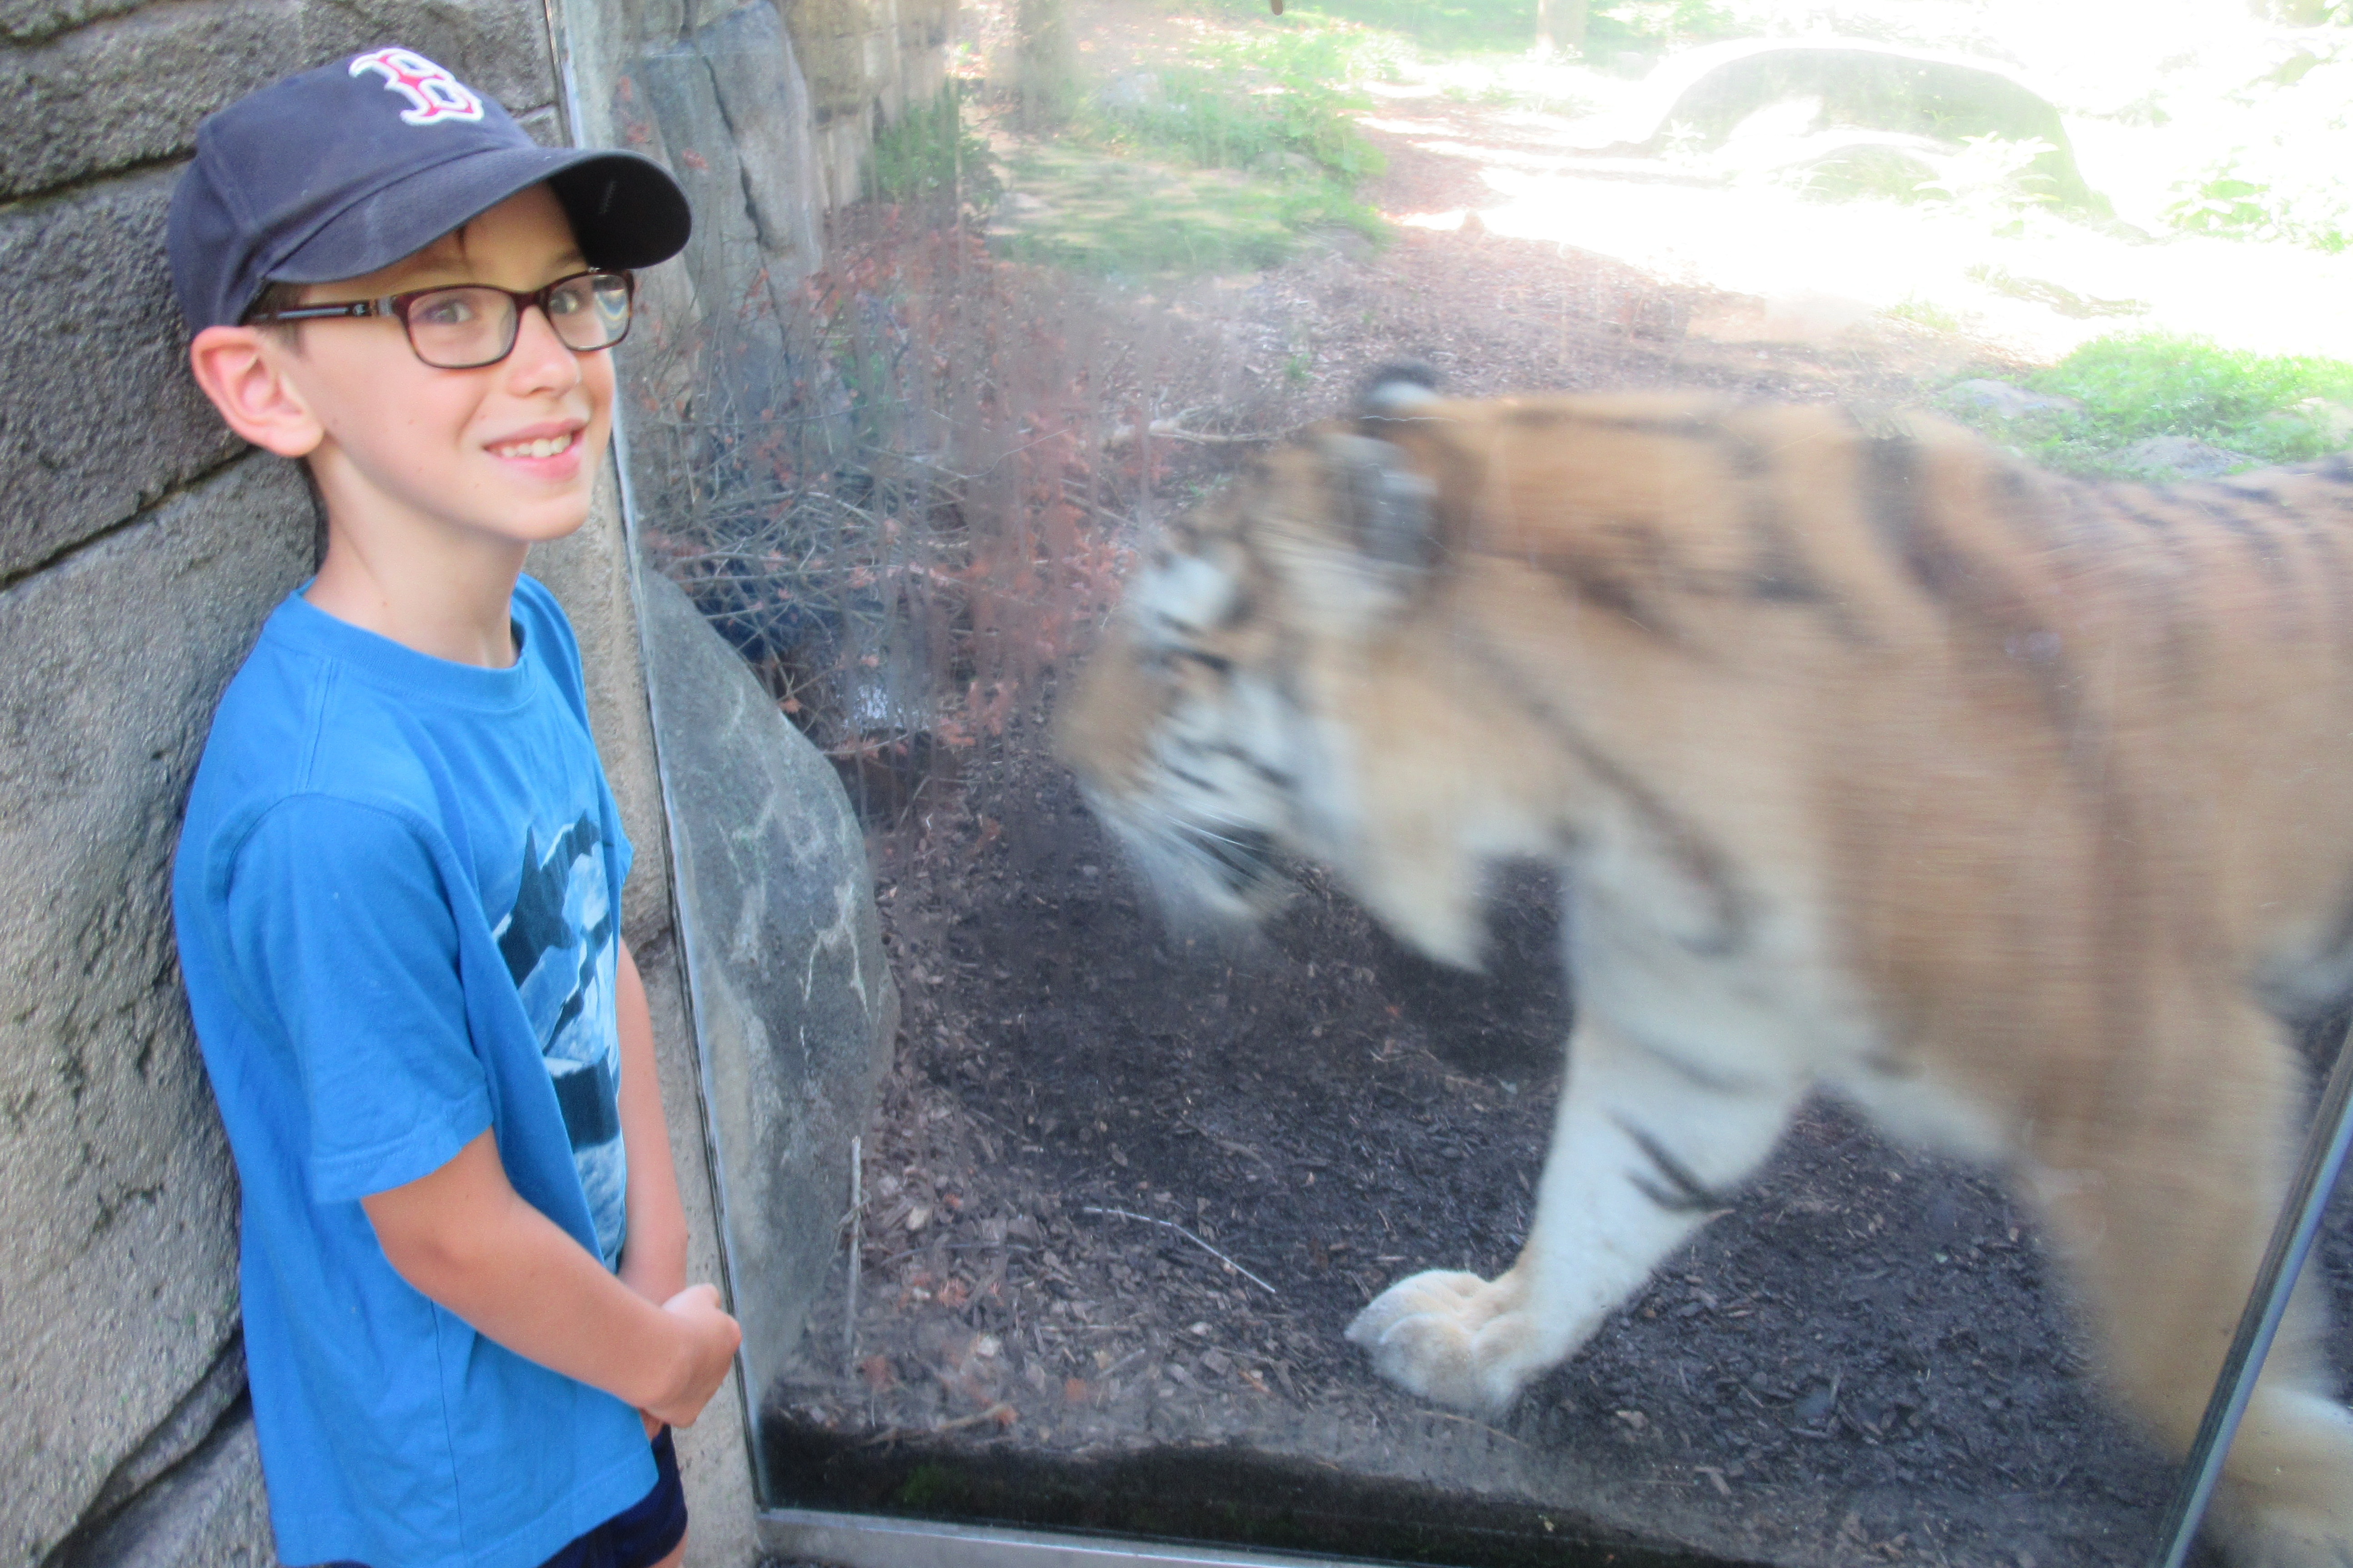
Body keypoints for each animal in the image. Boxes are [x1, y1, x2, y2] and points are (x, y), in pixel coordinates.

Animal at [1053, 365, 2353, 1568]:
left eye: (1174, 659)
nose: (1069, 759)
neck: (1591, 792)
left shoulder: (2170, 1079)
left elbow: (2179, 1366)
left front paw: (2308, 1496)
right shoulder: (1689, 1028)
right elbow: (1596, 1205)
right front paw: (1477, 1342)